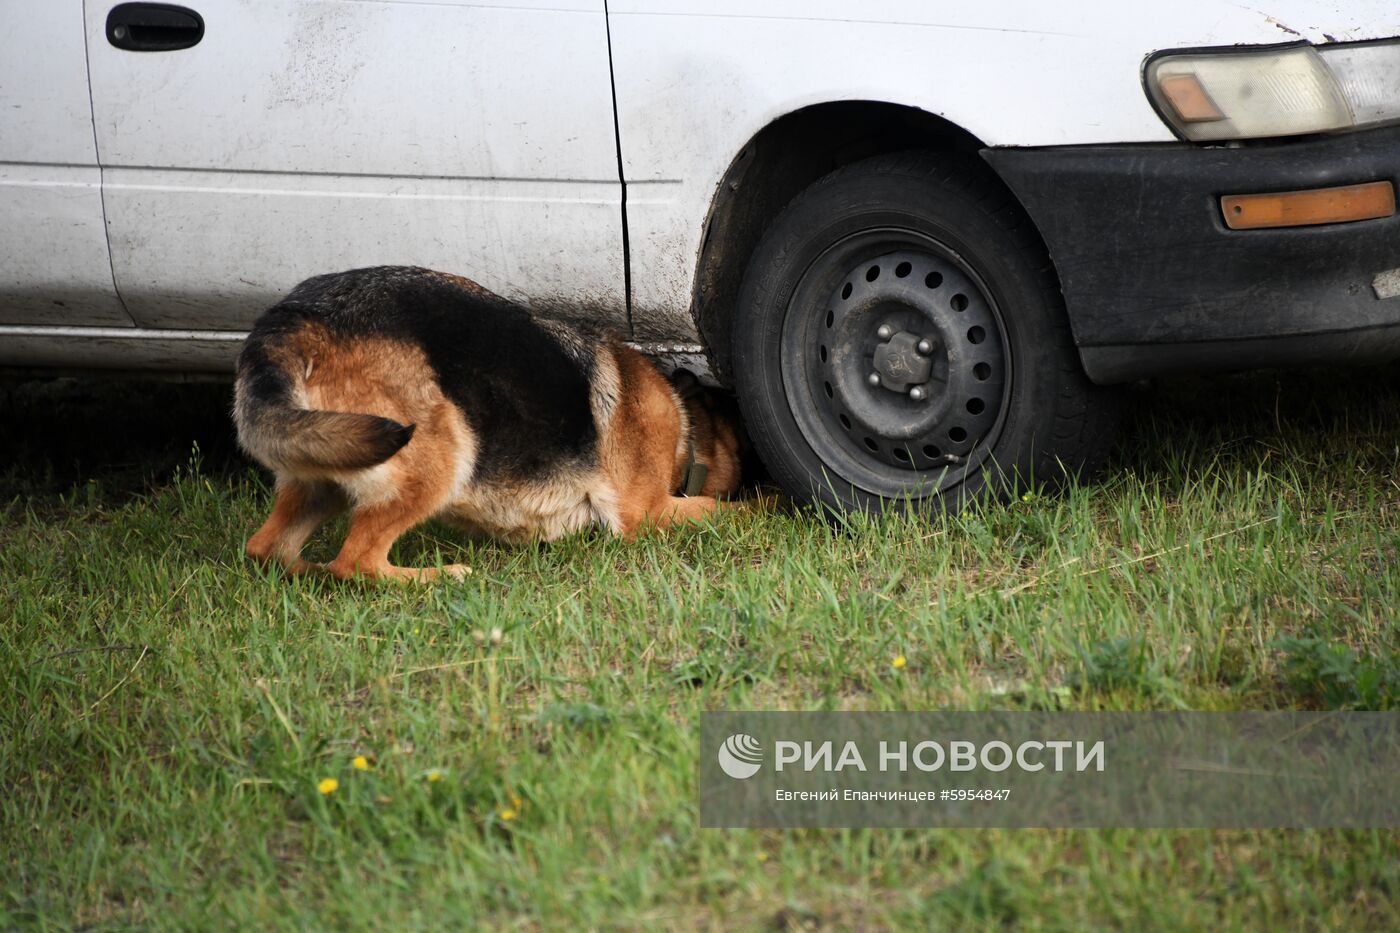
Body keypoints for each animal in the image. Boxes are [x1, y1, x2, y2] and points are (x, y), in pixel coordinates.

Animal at [232, 264, 744, 577]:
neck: (687, 428)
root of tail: (292, 317)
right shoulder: (649, 512)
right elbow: (732, 510)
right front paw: (762, 508)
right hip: (446, 445)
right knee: (356, 563)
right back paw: (438, 576)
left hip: (322, 466)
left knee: (267, 548)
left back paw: (309, 574)